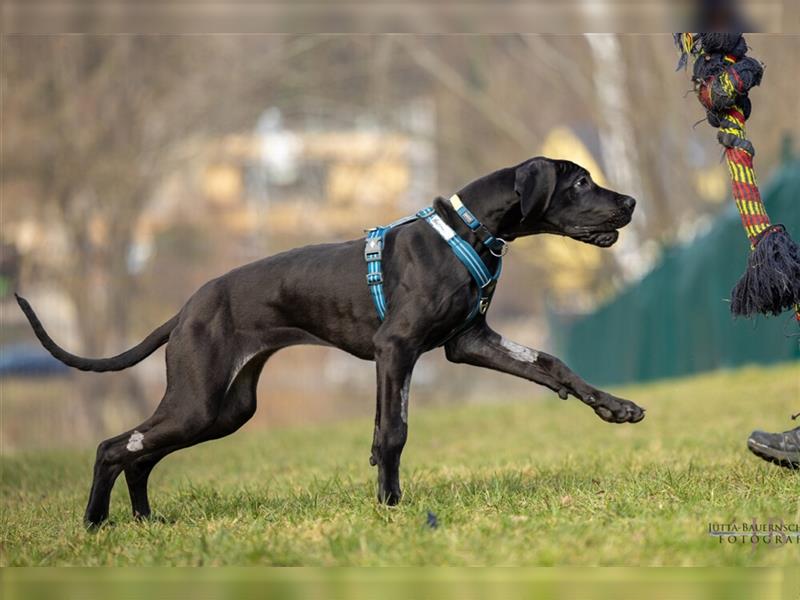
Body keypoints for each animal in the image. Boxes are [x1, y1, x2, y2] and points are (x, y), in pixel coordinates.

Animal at [17, 156, 644, 524]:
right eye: (581, 181)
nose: (631, 202)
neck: (469, 232)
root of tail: (185, 309)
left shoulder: (469, 341)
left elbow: (551, 362)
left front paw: (616, 407)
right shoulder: (396, 349)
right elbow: (393, 432)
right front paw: (391, 507)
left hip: (224, 409)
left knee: (141, 453)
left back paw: (147, 521)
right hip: (198, 400)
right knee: (114, 446)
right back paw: (95, 523)